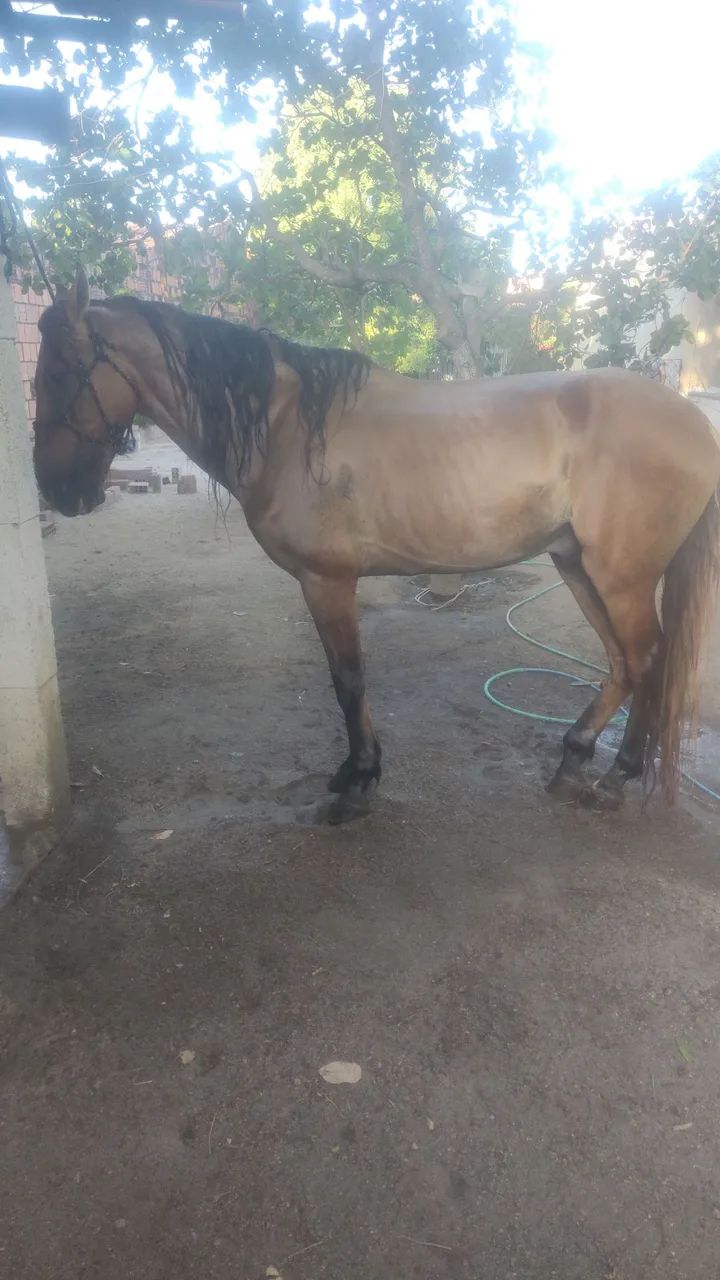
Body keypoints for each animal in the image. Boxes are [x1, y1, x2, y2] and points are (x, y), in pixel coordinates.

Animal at [33, 266, 720, 823]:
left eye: (62, 371)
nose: (57, 489)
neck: (288, 426)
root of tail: (694, 423)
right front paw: (357, 772)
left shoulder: (327, 581)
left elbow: (348, 680)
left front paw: (359, 781)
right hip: (578, 565)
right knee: (626, 663)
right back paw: (576, 759)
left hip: (621, 575)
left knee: (648, 658)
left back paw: (616, 775)